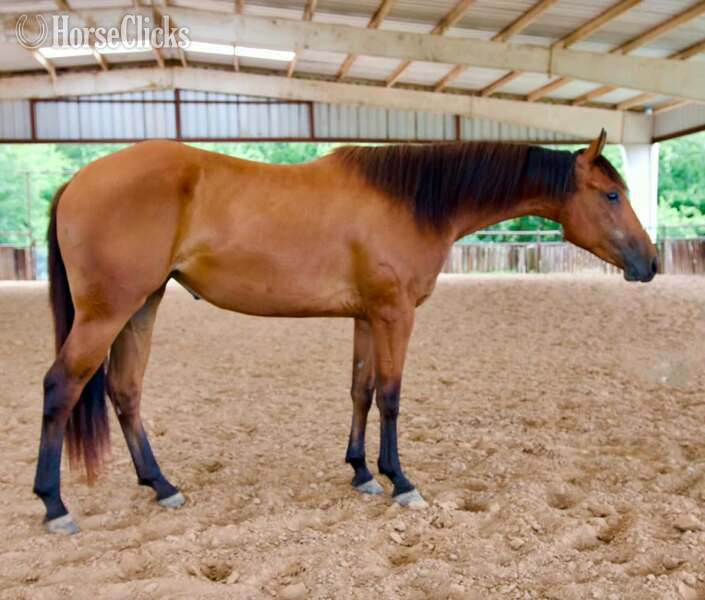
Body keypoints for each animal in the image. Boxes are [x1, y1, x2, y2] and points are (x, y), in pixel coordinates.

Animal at [34, 129, 658, 534]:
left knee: (125, 390)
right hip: (108, 312)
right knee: (62, 388)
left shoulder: (366, 315)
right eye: (611, 194)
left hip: (142, 305)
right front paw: (400, 481)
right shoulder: (395, 314)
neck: (416, 201)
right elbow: (392, 396)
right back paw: (55, 506)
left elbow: (361, 390)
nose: (651, 263)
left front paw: (361, 473)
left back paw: (161, 486)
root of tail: (77, 181)